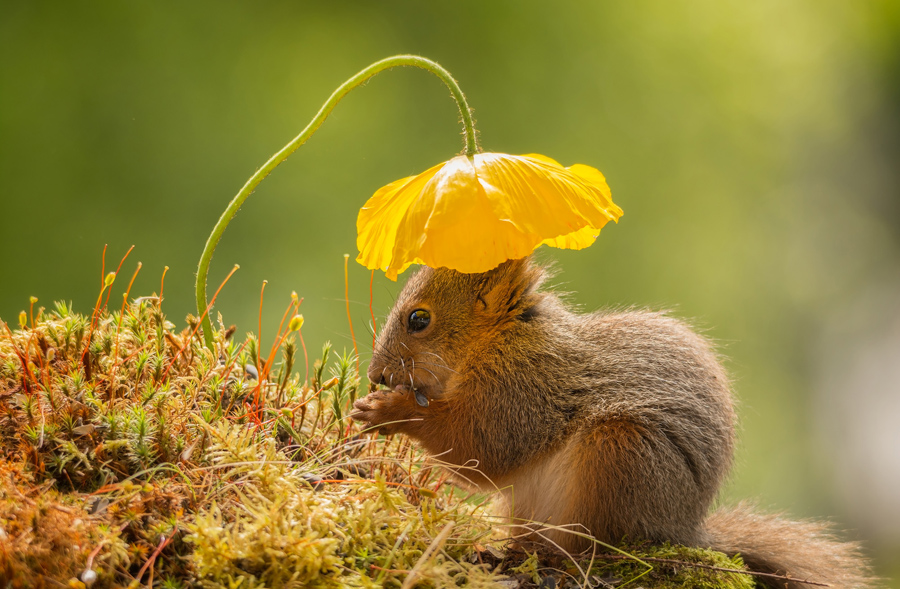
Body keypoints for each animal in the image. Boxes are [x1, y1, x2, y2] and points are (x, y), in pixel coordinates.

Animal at [354, 258, 880, 588]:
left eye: (419, 320)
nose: (376, 374)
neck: (499, 339)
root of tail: (682, 529)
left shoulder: (525, 388)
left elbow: (482, 446)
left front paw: (389, 410)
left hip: (620, 455)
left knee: (597, 547)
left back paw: (558, 557)